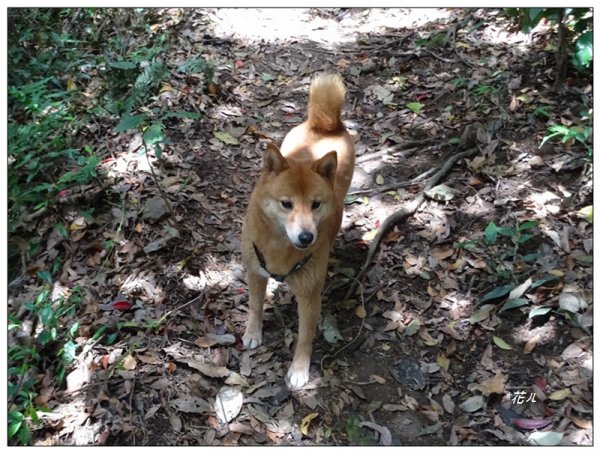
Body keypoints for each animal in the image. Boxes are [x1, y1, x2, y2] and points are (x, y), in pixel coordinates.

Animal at [240, 73, 354, 388]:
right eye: (286, 204)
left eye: (315, 204)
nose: (306, 237)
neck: (280, 249)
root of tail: (324, 125)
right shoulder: (255, 271)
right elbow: (255, 305)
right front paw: (253, 332)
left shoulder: (309, 294)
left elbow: (305, 337)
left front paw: (300, 369)